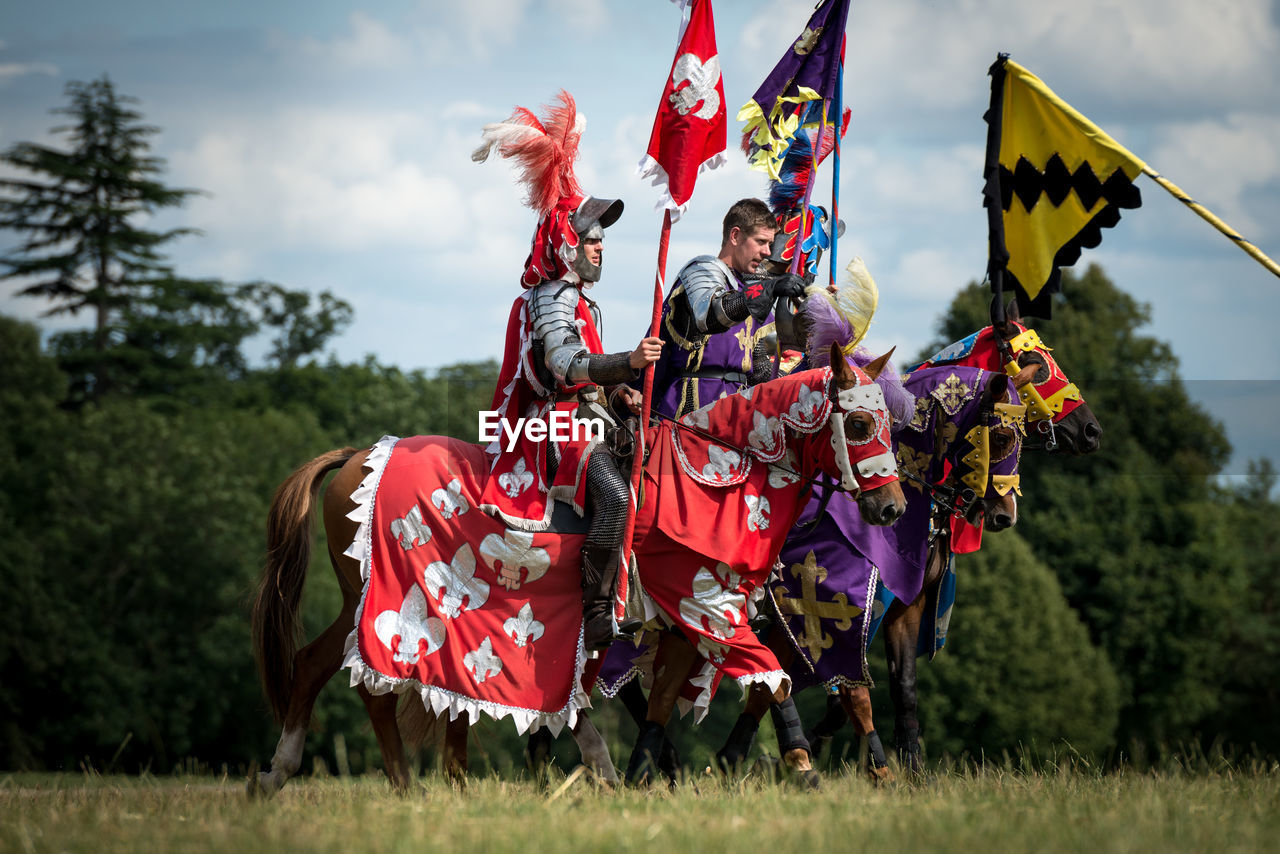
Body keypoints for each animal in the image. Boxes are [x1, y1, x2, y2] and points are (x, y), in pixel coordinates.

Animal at [249, 345, 906, 793]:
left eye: (889, 424)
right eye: (860, 423)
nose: (893, 507)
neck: (717, 472)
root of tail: (358, 455)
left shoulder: (683, 622)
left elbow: (664, 701)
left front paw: (639, 777)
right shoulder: (705, 607)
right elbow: (772, 676)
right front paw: (803, 766)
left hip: (360, 595)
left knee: (322, 667)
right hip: (383, 594)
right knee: (357, 677)